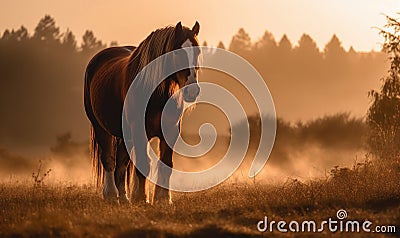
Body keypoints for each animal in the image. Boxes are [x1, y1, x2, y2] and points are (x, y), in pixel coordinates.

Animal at [85, 22, 202, 204]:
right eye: (177, 52)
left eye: (198, 52)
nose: (192, 90)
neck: (157, 93)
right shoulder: (139, 131)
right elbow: (143, 163)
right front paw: (141, 198)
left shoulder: (170, 131)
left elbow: (166, 164)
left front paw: (162, 198)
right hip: (100, 127)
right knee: (109, 160)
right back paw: (110, 195)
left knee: (122, 162)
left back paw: (124, 197)